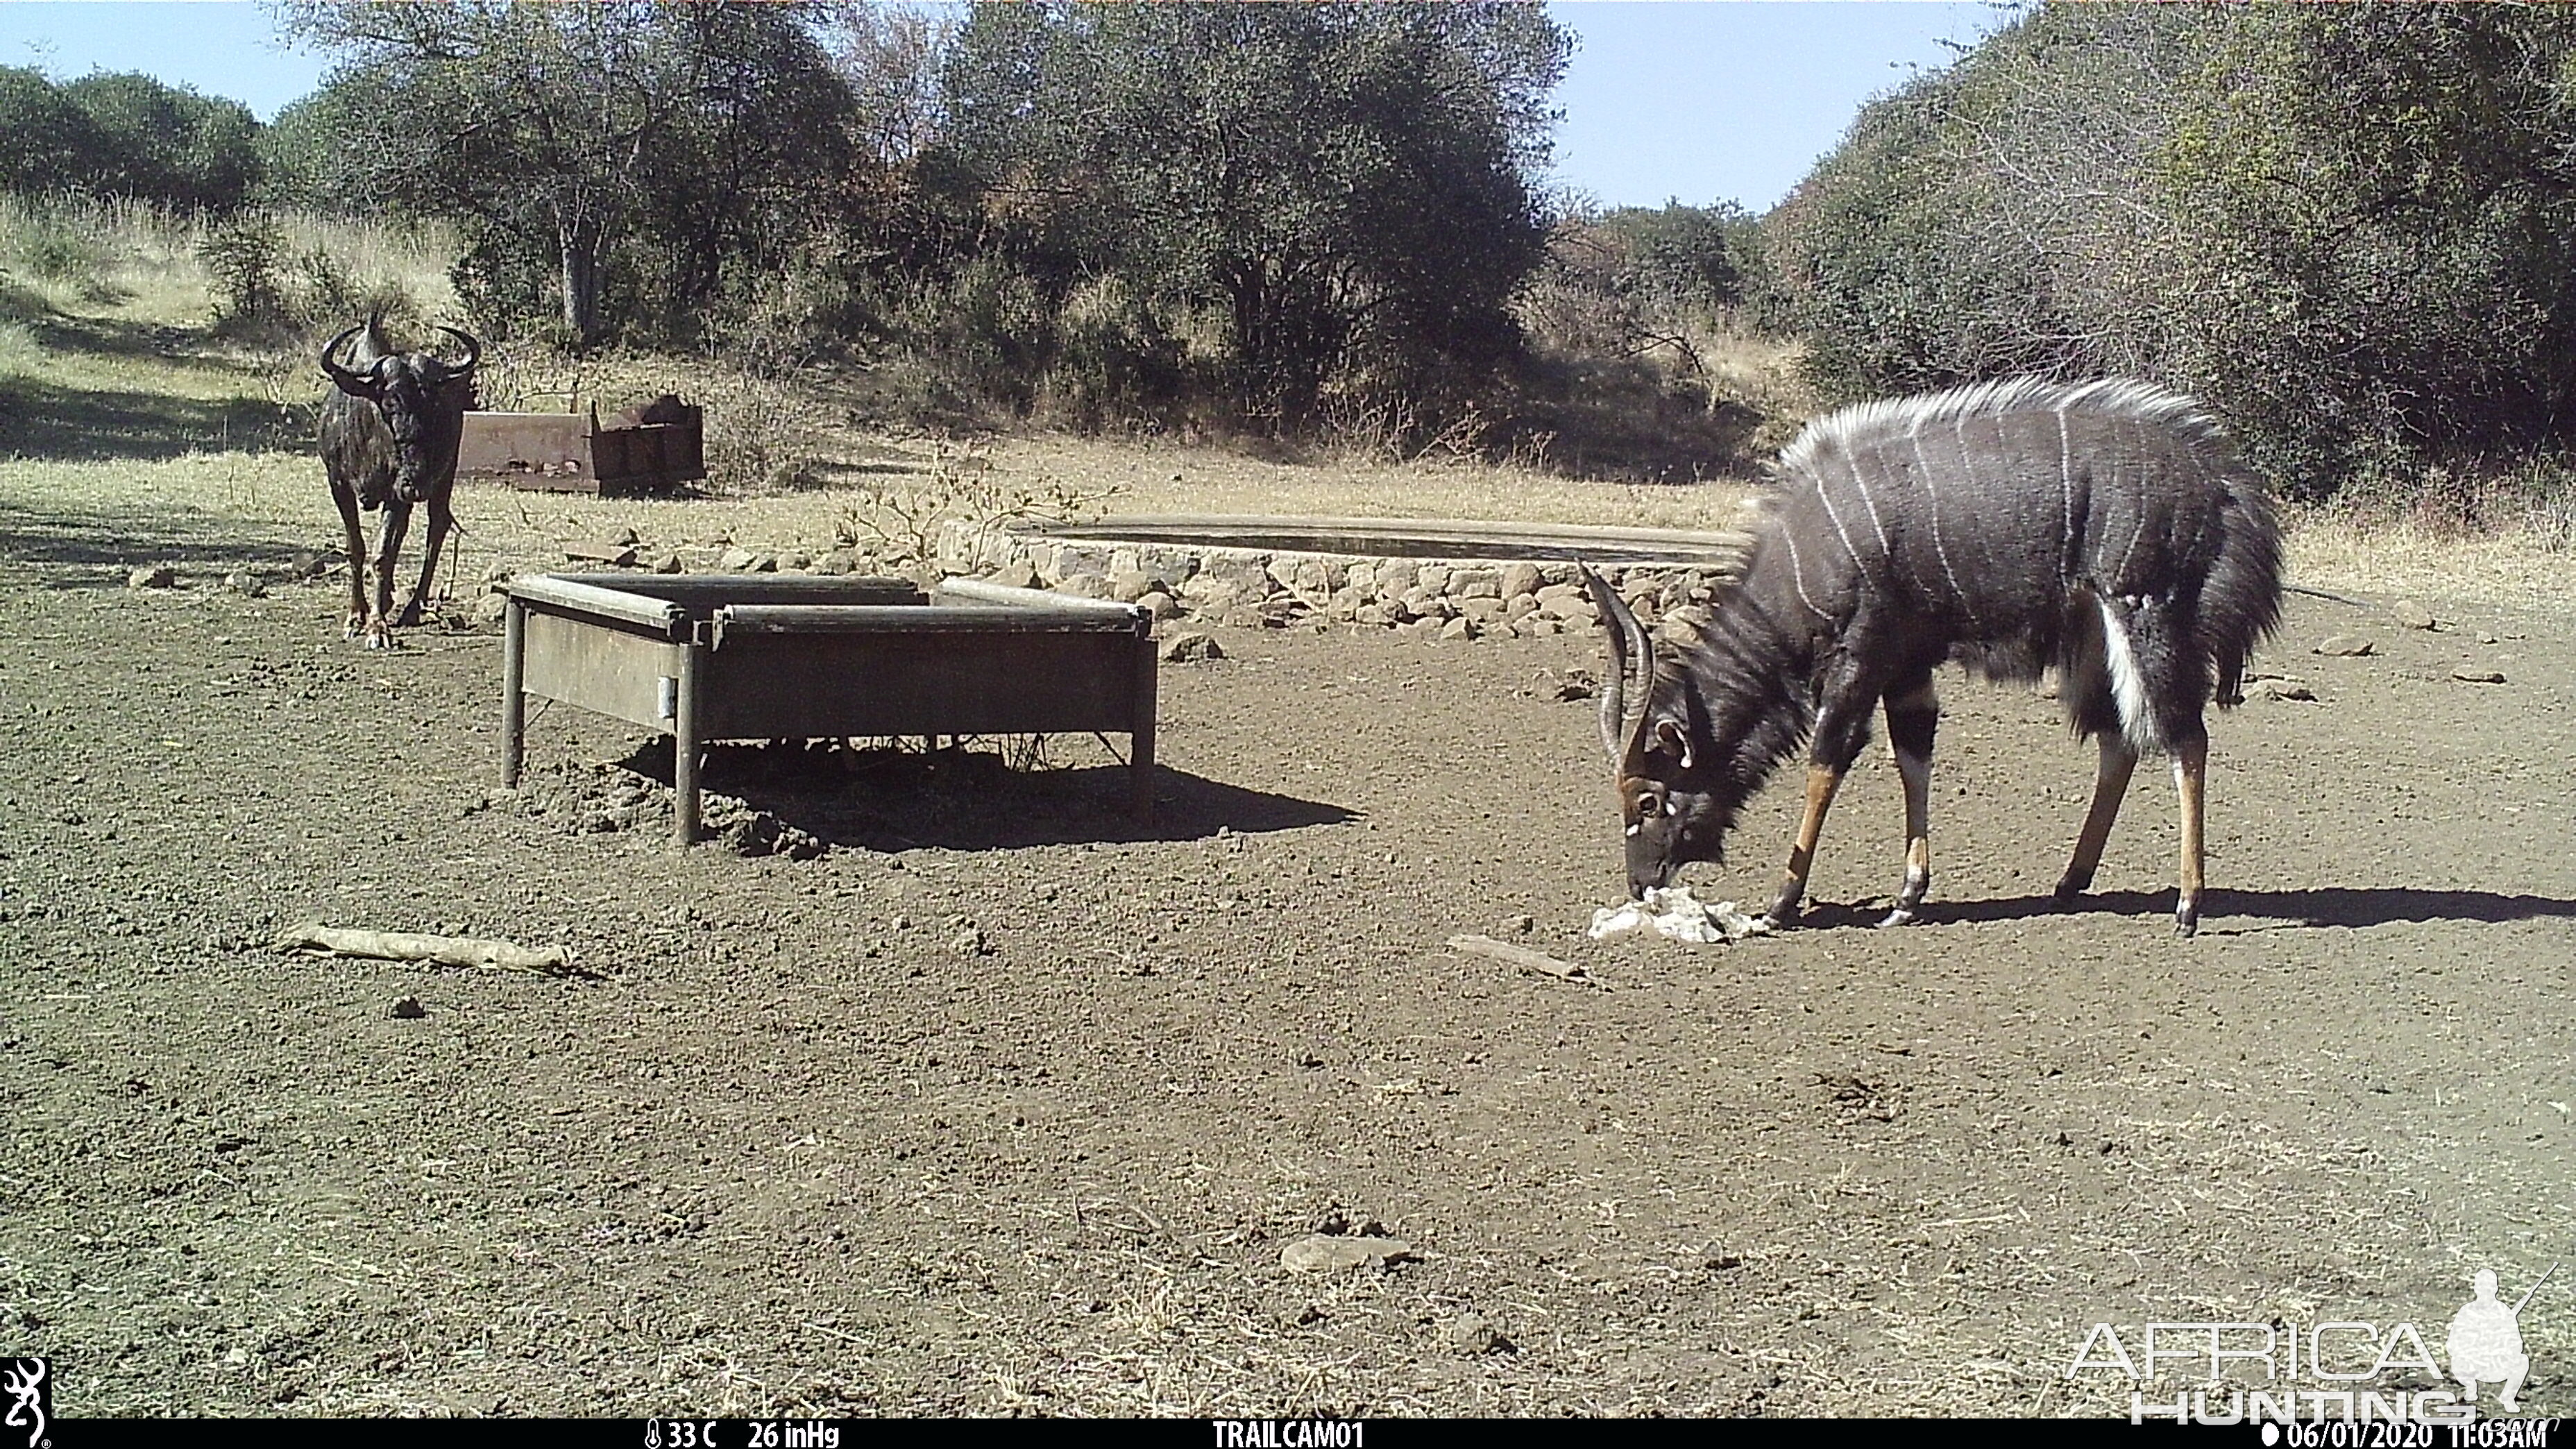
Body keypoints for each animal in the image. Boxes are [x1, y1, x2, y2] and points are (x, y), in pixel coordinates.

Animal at [1576, 373, 2287, 938]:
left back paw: (2188, 906)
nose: (1640, 883)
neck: (1808, 558)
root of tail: (2230, 492)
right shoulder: (1908, 666)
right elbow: (1912, 757)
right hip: (2094, 640)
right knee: (2121, 740)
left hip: (2146, 612)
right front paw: (1906, 898)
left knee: (2184, 739)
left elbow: (1826, 763)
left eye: (1648, 800)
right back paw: (2070, 881)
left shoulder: (1860, 657)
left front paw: (1783, 901)